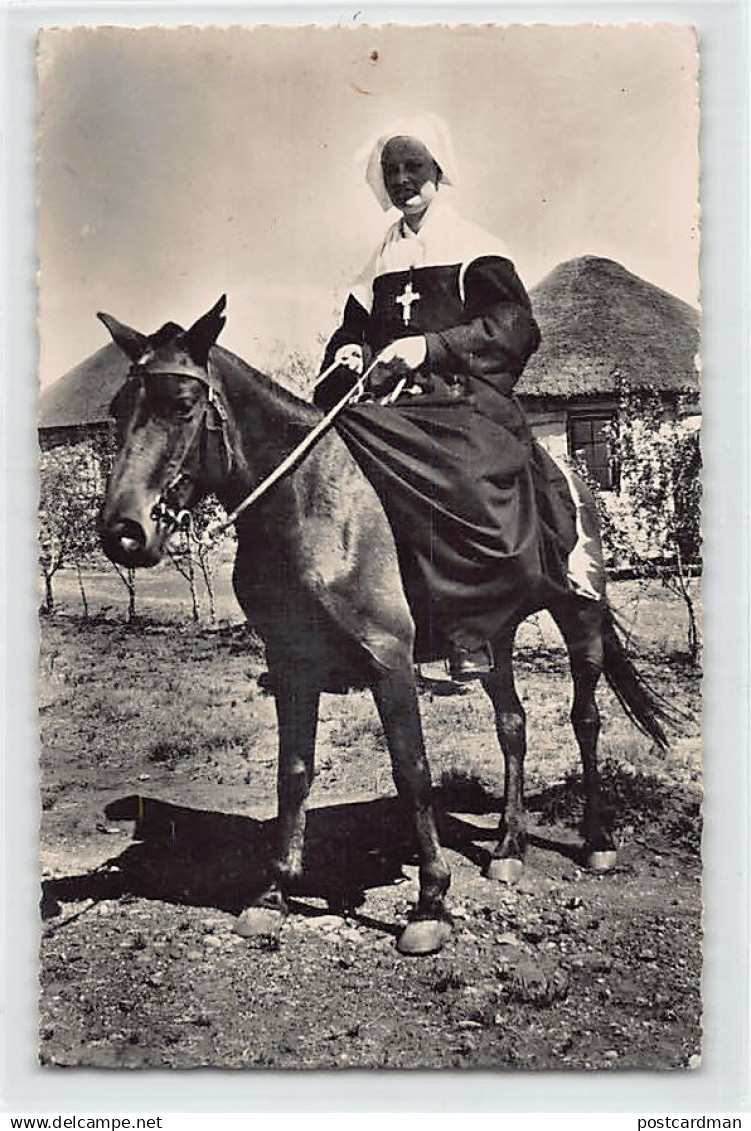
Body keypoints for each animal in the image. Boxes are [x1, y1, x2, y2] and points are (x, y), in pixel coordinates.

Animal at [98, 298, 669, 954]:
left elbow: (412, 771)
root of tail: (569, 474)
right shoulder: (291, 664)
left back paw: (597, 842)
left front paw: (431, 903)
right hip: (492, 632)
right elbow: (293, 773)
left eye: (183, 406)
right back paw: (507, 846)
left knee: (586, 720)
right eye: (118, 409)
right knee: (512, 725)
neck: (310, 504)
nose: (123, 532)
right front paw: (274, 893)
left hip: (581, 617)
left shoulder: (388, 659)